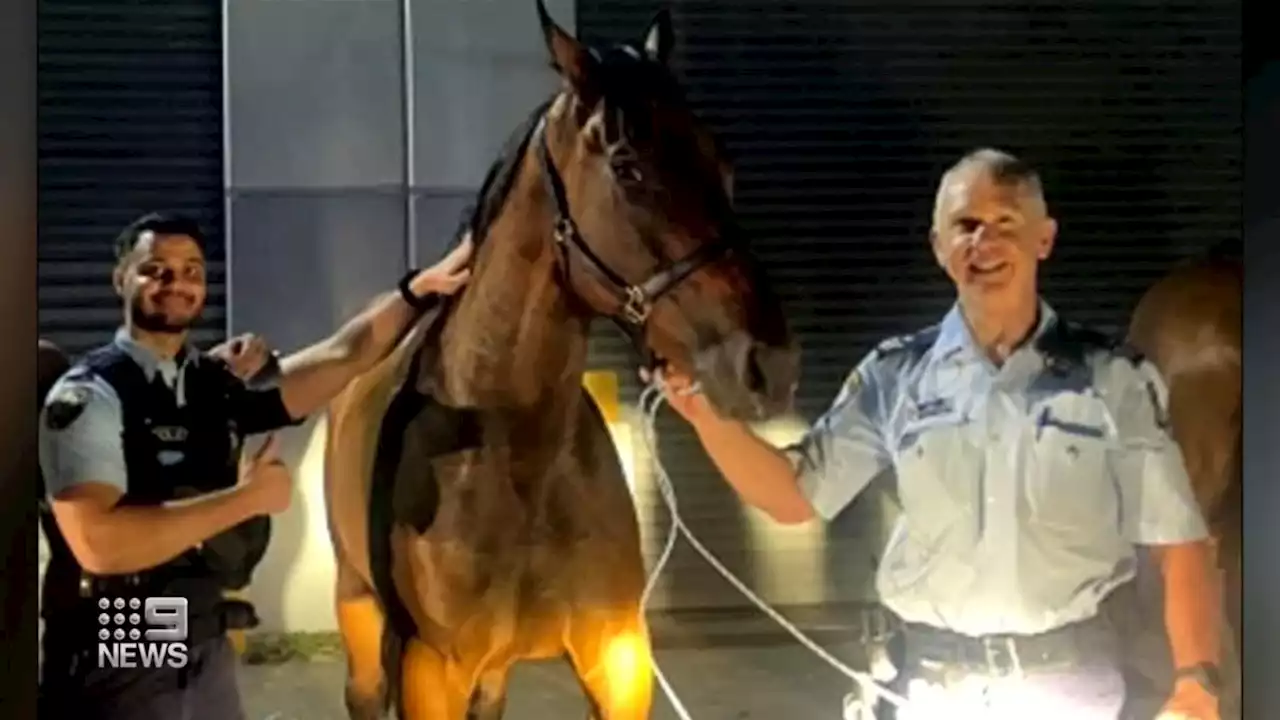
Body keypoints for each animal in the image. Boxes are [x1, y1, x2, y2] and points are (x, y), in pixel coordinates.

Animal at [322, 2, 798, 712]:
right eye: (628, 167)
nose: (769, 365)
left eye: (723, 162)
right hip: (357, 613)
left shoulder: (619, 659)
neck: (514, 450)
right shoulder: (430, 670)